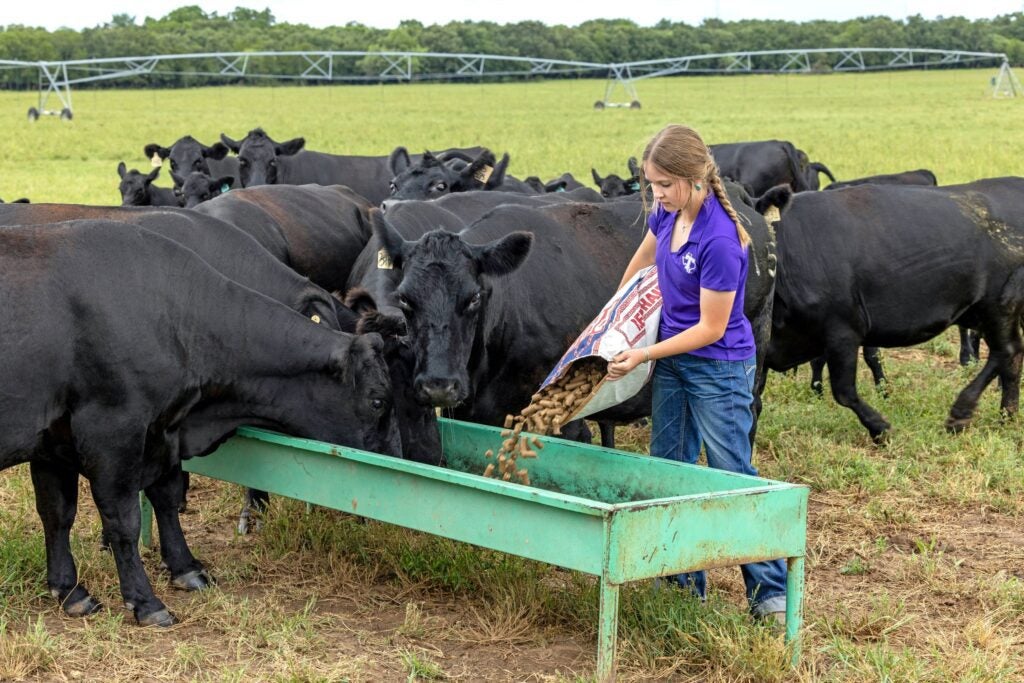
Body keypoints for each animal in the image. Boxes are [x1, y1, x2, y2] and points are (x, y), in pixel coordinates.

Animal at [0, 222, 399, 626]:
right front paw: (146, 602)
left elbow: (67, 511)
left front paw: (75, 590)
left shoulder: (79, 439)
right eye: (378, 401)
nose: (397, 457)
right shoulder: (113, 433)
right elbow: (123, 522)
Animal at [761, 179, 1024, 440]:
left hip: (998, 305)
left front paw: (879, 427)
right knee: (1012, 355)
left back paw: (963, 412)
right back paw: (1006, 417)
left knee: (1006, 352)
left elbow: (844, 391)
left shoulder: (842, 330)